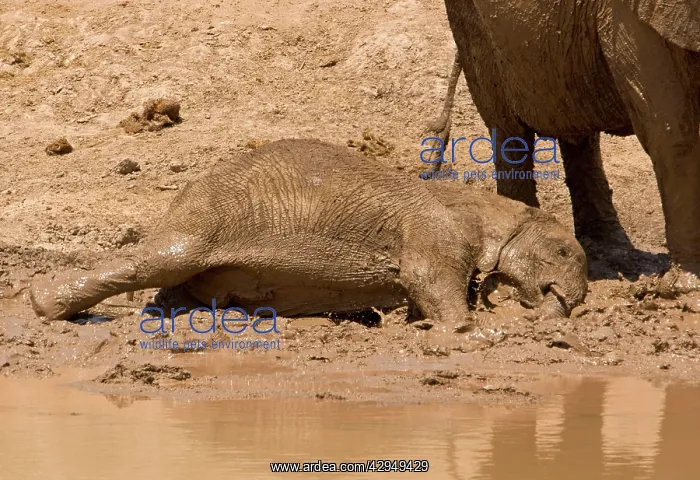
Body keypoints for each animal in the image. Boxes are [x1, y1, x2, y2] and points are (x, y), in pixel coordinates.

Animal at [28, 139, 588, 325]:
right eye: (563, 251)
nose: (569, 304)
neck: (491, 207)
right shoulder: (437, 229)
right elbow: (430, 280)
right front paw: (465, 331)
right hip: (205, 216)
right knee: (162, 259)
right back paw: (43, 305)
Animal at [424, 0, 700, 293]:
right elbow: (671, 133)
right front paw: (684, 289)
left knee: (578, 129)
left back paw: (611, 252)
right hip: (471, 24)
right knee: (509, 131)